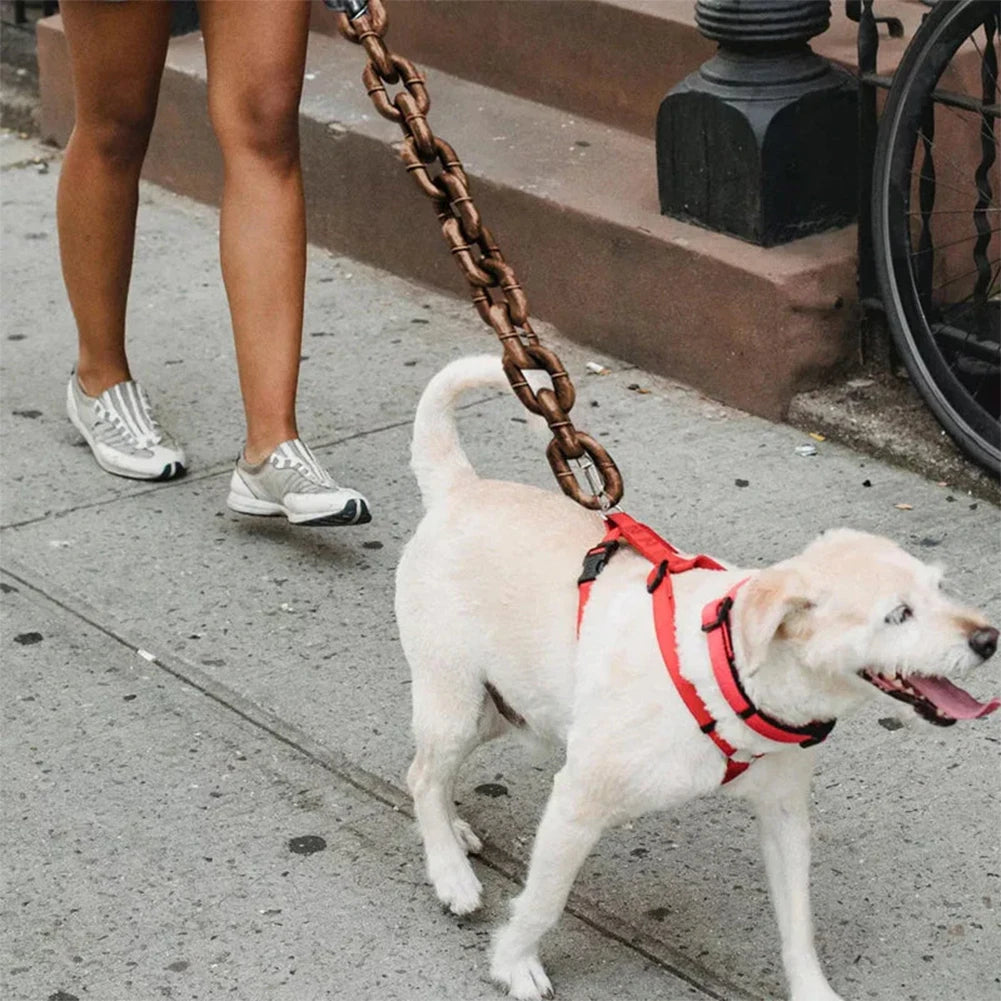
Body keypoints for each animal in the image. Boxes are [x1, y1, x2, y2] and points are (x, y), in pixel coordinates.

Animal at [394, 356, 996, 996]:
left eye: (940, 587)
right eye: (897, 614)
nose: (989, 640)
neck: (726, 670)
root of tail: (459, 487)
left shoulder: (785, 816)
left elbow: (798, 927)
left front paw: (811, 988)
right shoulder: (577, 801)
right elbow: (543, 902)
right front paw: (514, 963)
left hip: (505, 708)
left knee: (427, 773)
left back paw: (452, 833)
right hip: (455, 701)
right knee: (424, 774)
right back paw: (450, 871)